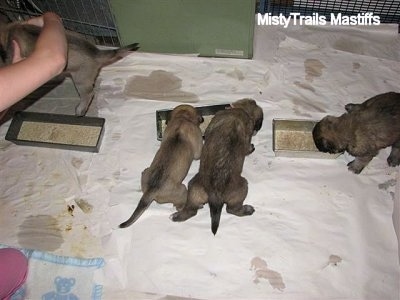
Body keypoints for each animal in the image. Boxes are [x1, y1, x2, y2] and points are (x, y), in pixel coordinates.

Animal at [171, 98, 262, 234]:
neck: (240, 111)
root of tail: (215, 195)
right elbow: (247, 147)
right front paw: (251, 147)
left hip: (194, 188)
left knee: (192, 210)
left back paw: (177, 216)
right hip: (242, 187)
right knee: (232, 209)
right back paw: (247, 210)